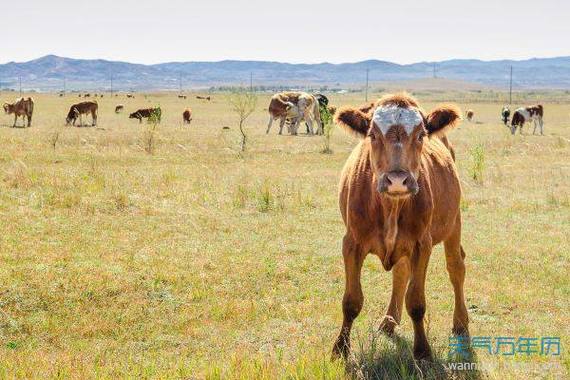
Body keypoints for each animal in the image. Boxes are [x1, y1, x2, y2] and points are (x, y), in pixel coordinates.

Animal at [328, 93, 466, 360]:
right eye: (372, 135)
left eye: (421, 135)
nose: (398, 180)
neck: (390, 207)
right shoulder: (351, 243)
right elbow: (351, 301)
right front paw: (340, 348)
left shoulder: (422, 244)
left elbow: (417, 302)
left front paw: (422, 351)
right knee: (401, 272)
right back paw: (389, 322)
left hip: (454, 222)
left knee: (456, 267)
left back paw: (461, 322)